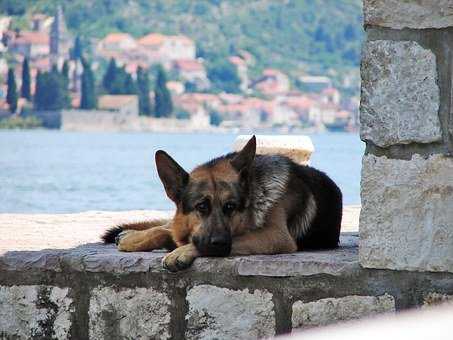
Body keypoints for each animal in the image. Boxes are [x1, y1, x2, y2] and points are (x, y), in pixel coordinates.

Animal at [102, 135, 340, 270]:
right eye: (201, 206)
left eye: (230, 207)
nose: (218, 243)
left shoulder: (276, 236)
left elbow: (236, 238)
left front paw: (181, 251)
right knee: (167, 226)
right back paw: (131, 236)